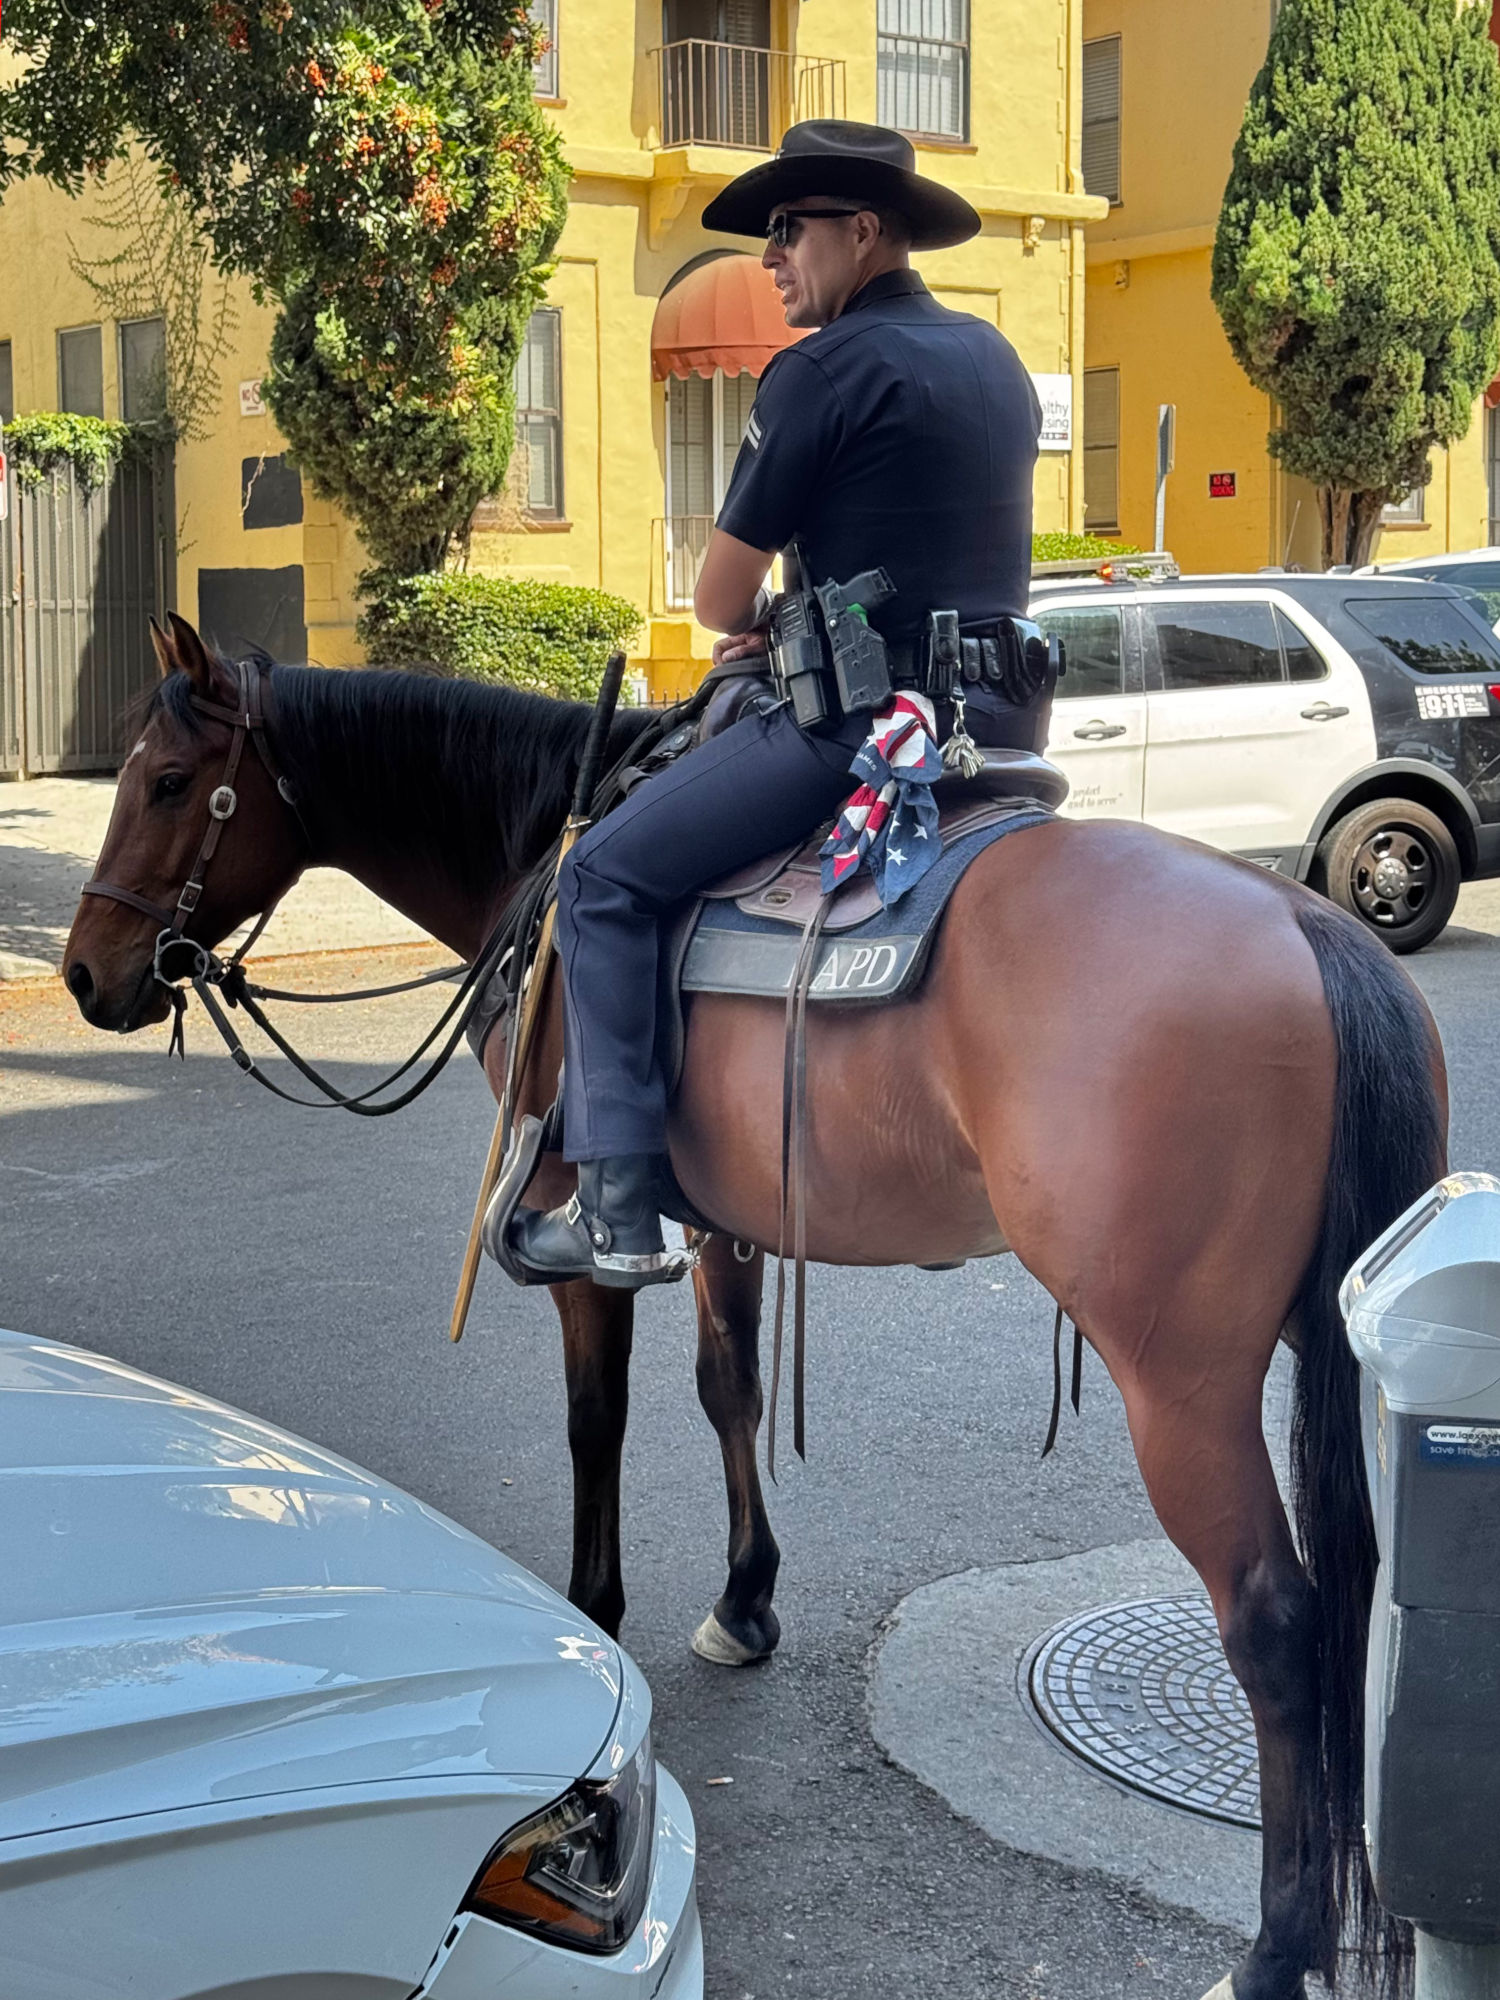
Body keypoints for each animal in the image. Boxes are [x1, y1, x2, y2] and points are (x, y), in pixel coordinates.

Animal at [64, 615, 1446, 2000]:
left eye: (170, 782)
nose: (86, 972)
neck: (543, 839)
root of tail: (1310, 924)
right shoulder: (724, 1213)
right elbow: (727, 1385)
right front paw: (746, 1597)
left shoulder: (581, 1234)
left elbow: (598, 1418)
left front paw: (597, 1608)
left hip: (1182, 1383)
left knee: (1276, 1621)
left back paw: (1277, 1946)